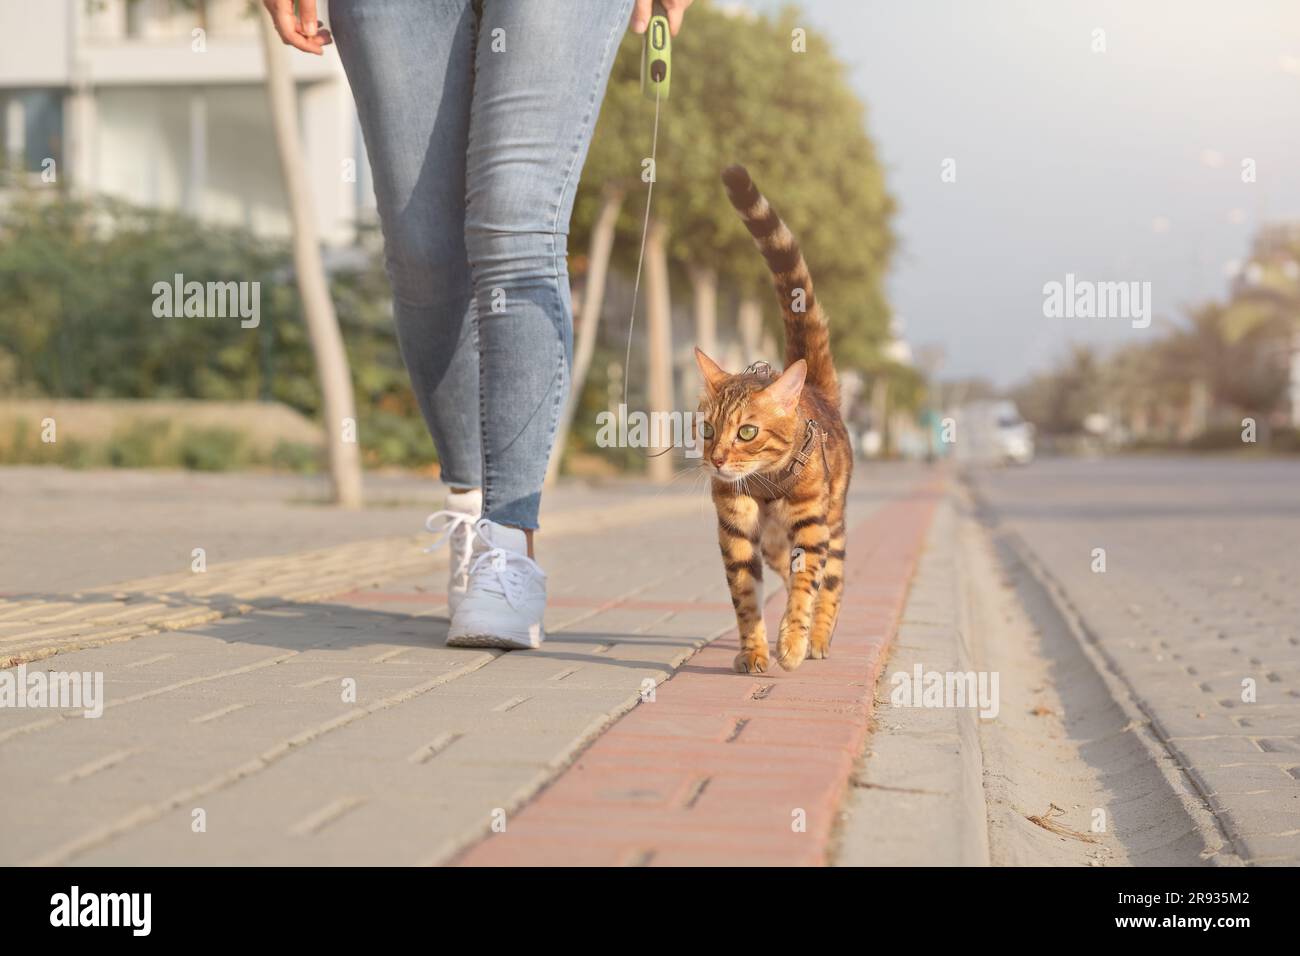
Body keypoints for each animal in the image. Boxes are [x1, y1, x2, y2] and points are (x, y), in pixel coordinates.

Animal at [691, 164, 852, 671]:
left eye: (747, 432)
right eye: (708, 430)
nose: (718, 460)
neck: (764, 482)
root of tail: (816, 388)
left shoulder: (811, 526)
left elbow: (806, 586)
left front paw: (793, 642)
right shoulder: (736, 531)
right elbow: (745, 597)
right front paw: (755, 651)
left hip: (832, 520)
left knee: (833, 579)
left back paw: (818, 638)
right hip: (775, 543)